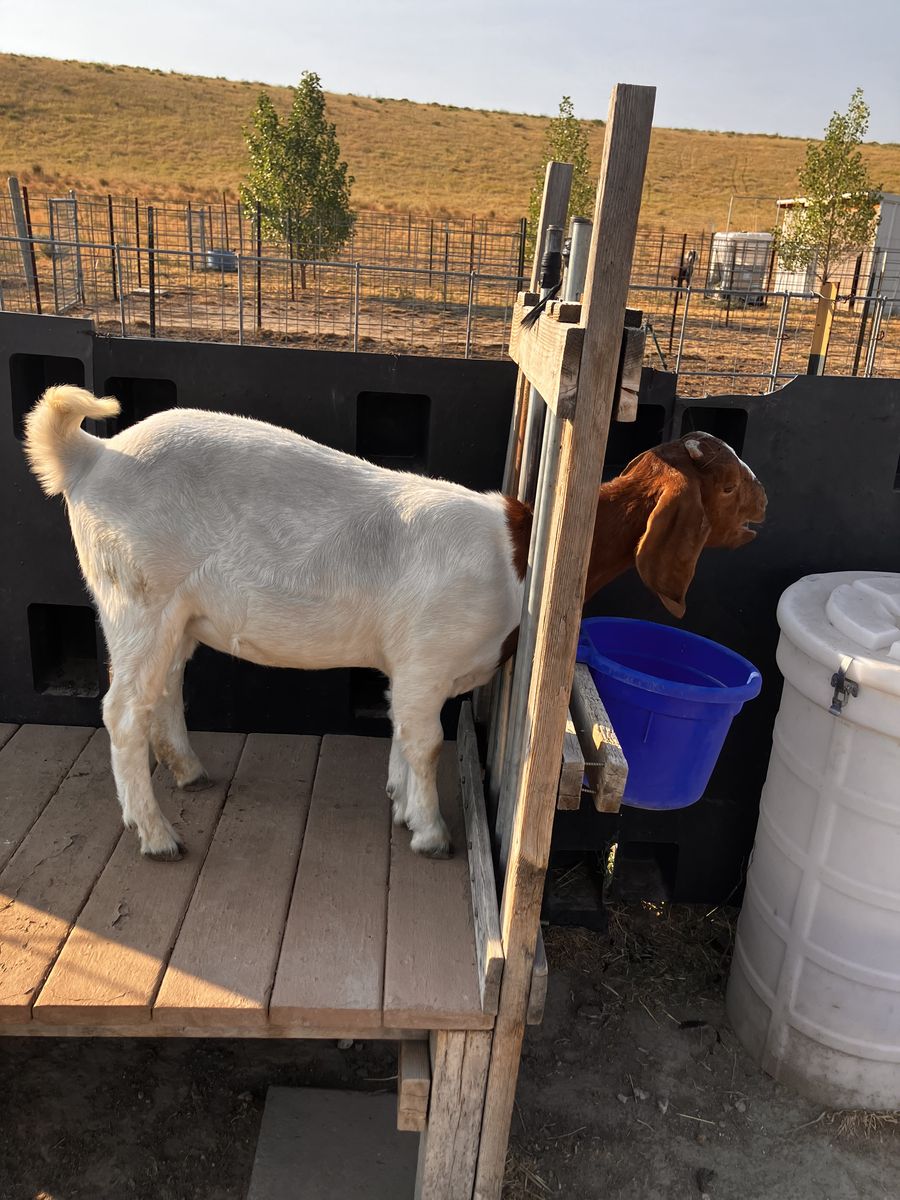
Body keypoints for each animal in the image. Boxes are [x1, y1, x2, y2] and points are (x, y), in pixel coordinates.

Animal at [24, 387, 766, 861]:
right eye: (727, 485)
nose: (763, 507)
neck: (521, 553)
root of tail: (91, 456)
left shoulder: (413, 670)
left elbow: (405, 734)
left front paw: (402, 803)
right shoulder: (429, 658)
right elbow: (428, 741)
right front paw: (432, 834)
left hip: (174, 614)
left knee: (165, 691)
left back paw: (189, 772)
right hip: (136, 598)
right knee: (122, 711)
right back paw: (157, 837)